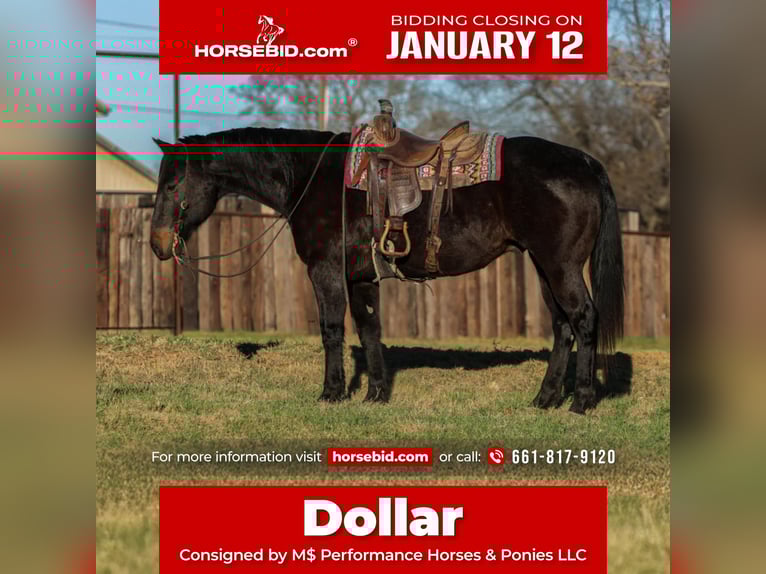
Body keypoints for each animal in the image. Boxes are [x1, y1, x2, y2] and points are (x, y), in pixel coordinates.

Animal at [149, 126, 624, 414]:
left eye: (172, 184)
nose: (157, 243)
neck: (311, 177)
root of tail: (584, 162)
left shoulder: (326, 271)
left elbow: (332, 330)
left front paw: (332, 392)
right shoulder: (361, 278)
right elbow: (369, 330)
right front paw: (376, 394)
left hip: (560, 266)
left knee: (583, 319)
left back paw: (581, 401)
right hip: (543, 266)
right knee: (562, 326)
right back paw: (545, 398)